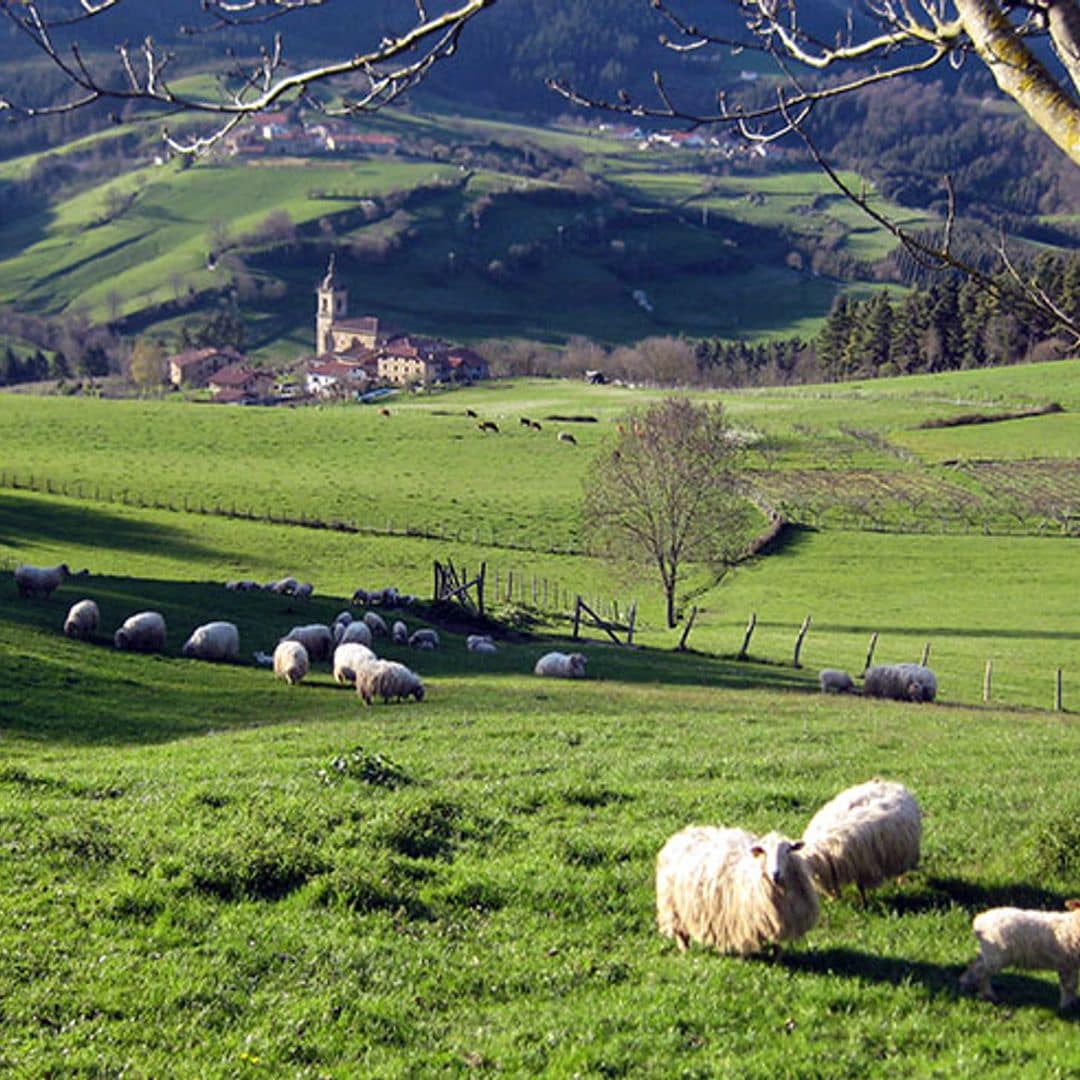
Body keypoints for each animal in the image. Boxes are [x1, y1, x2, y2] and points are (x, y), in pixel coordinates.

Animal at [652, 825, 820, 954]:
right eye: (764, 852)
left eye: (788, 850)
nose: (775, 873)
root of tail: (683, 834)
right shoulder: (742, 919)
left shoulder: (772, 918)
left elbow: (775, 941)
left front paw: (778, 956)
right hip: (674, 906)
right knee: (680, 933)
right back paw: (685, 950)